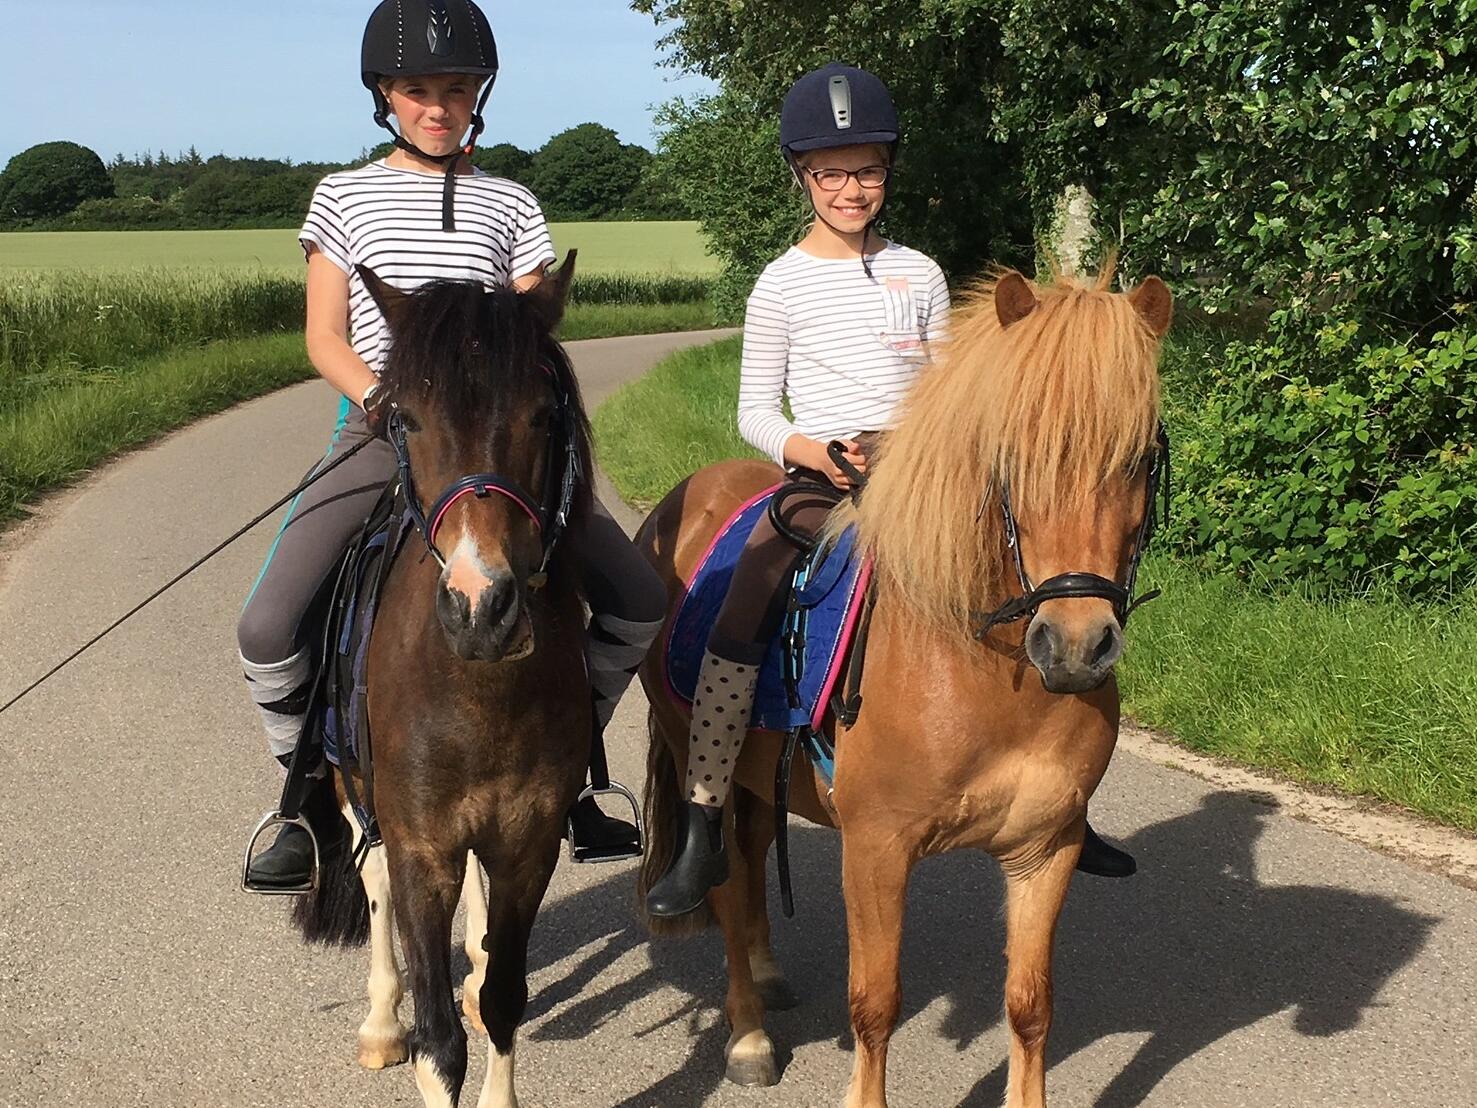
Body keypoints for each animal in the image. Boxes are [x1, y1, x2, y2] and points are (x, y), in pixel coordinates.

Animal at [288, 255, 587, 1108]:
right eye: (408, 421)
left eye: (542, 417)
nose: (481, 608)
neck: (478, 689)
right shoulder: (421, 847)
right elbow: (437, 1040)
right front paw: (407, 1028)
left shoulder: (527, 841)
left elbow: (505, 999)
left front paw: (489, 998)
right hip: (358, 793)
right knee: (374, 879)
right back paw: (378, 1024)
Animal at [635, 268, 1175, 1108]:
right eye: (1010, 453)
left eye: (1139, 456)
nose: (1076, 647)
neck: (981, 671)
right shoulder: (876, 850)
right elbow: (875, 1003)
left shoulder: (1043, 850)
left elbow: (1029, 1005)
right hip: (695, 750)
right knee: (723, 880)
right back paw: (748, 1033)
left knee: (753, 856)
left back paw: (766, 972)